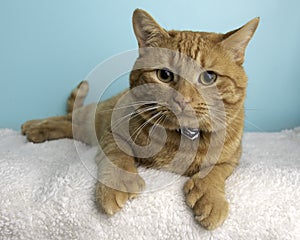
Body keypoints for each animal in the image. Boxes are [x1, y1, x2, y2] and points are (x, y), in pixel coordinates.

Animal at [22, 9, 258, 230]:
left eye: (208, 77)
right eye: (164, 75)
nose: (183, 99)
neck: (181, 140)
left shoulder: (232, 159)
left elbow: (214, 172)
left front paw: (211, 198)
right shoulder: (112, 132)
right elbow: (118, 155)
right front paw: (118, 183)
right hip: (93, 117)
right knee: (67, 117)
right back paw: (33, 126)